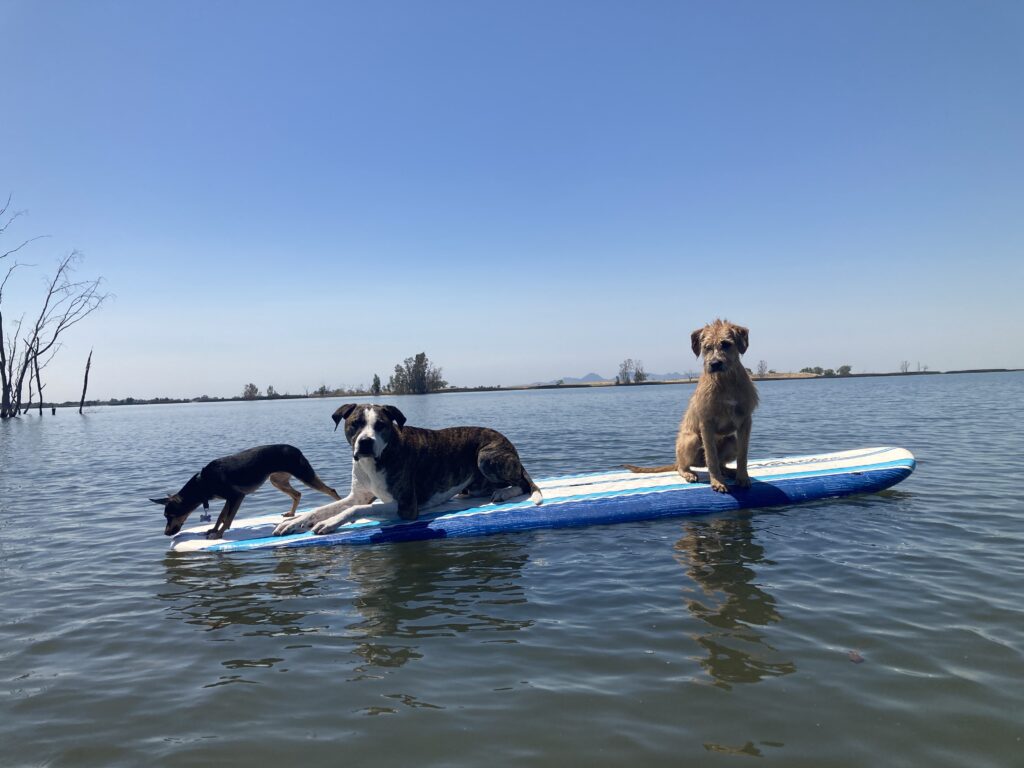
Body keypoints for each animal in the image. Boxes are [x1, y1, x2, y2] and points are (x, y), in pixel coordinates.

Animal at [151, 444, 342, 540]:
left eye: (169, 516)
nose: (166, 533)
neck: (203, 482)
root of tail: (296, 449)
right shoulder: (229, 499)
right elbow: (221, 516)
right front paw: (212, 530)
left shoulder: (236, 496)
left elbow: (228, 519)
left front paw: (219, 534)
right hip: (276, 480)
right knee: (297, 494)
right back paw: (291, 514)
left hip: (304, 475)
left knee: (331, 490)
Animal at [276, 405, 540, 536]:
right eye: (355, 424)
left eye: (380, 425)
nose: (365, 442)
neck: (375, 460)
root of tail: (509, 444)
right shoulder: (358, 494)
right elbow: (322, 509)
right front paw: (294, 522)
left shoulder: (405, 506)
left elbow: (357, 509)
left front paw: (330, 522)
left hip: (486, 456)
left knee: (522, 483)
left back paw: (504, 492)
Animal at [622, 319, 761, 493]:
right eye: (706, 347)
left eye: (726, 344)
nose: (715, 364)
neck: (725, 381)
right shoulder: (706, 423)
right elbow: (711, 457)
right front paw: (717, 482)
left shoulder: (745, 420)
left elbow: (743, 455)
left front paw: (742, 477)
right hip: (691, 439)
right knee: (682, 466)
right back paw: (689, 473)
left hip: (731, 441)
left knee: (721, 463)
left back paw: (729, 471)